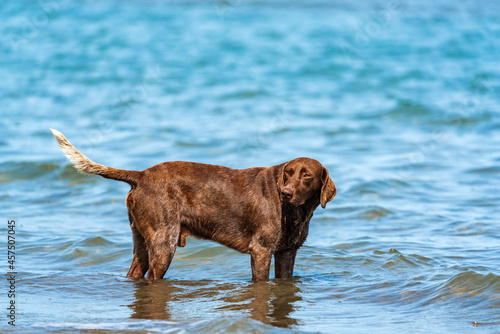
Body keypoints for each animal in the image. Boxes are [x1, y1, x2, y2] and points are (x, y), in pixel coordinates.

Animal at [51, 129, 336, 280]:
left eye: (306, 175)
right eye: (287, 173)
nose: (286, 192)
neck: (295, 212)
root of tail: (140, 175)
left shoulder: (287, 253)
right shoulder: (261, 251)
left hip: (141, 243)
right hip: (163, 243)